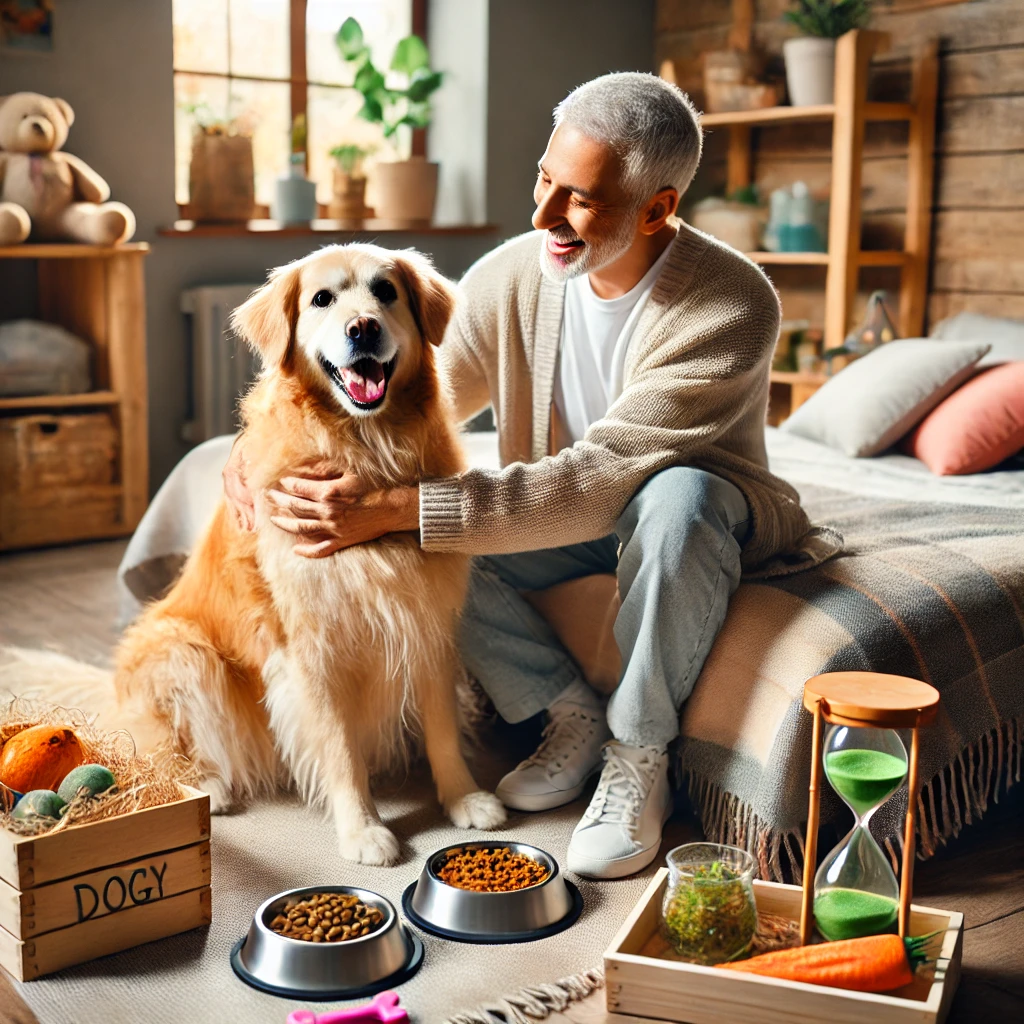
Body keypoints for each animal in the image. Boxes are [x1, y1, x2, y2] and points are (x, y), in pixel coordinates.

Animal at [12, 245, 503, 864]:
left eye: (386, 292)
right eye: (322, 299)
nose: (363, 328)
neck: (366, 448)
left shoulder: (426, 619)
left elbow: (442, 727)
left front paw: (463, 797)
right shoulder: (311, 648)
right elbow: (340, 748)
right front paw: (362, 829)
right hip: (184, 653)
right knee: (163, 750)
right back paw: (209, 785)